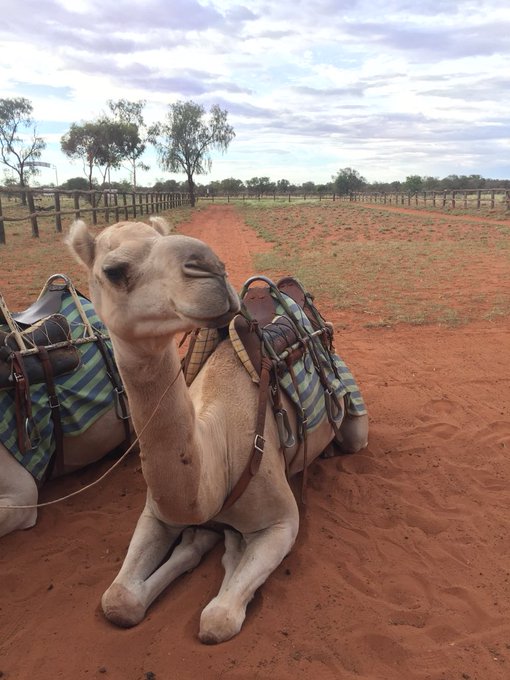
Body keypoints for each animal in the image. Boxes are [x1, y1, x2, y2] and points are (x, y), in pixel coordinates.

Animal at [67, 216, 369, 644]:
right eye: (113, 270)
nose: (209, 266)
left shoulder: (282, 523)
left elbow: (217, 620)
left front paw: (227, 548)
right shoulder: (157, 512)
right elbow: (118, 601)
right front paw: (200, 541)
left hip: (354, 421)